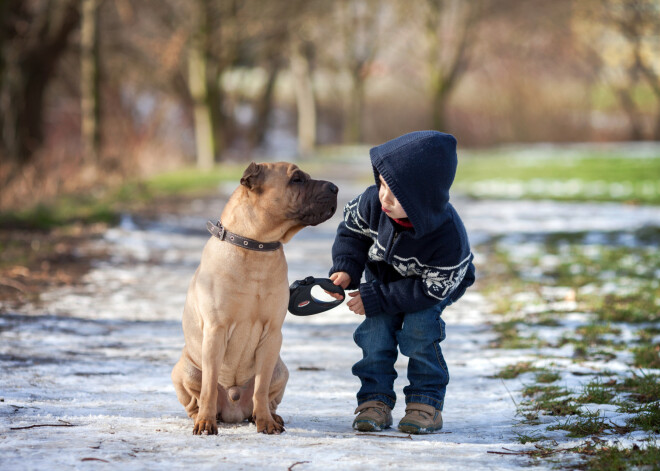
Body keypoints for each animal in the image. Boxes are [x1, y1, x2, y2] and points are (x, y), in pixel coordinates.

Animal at [171, 161, 336, 436]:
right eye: (297, 179)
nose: (335, 188)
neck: (256, 246)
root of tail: (234, 409)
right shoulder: (216, 330)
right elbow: (208, 387)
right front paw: (205, 423)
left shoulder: (272, 334)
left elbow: (260, 387)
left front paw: (266, 423)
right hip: (185, 370)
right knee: (197, 397)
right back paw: (203, 417)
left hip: (281, 370)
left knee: (266, 396)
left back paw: (269, 416)